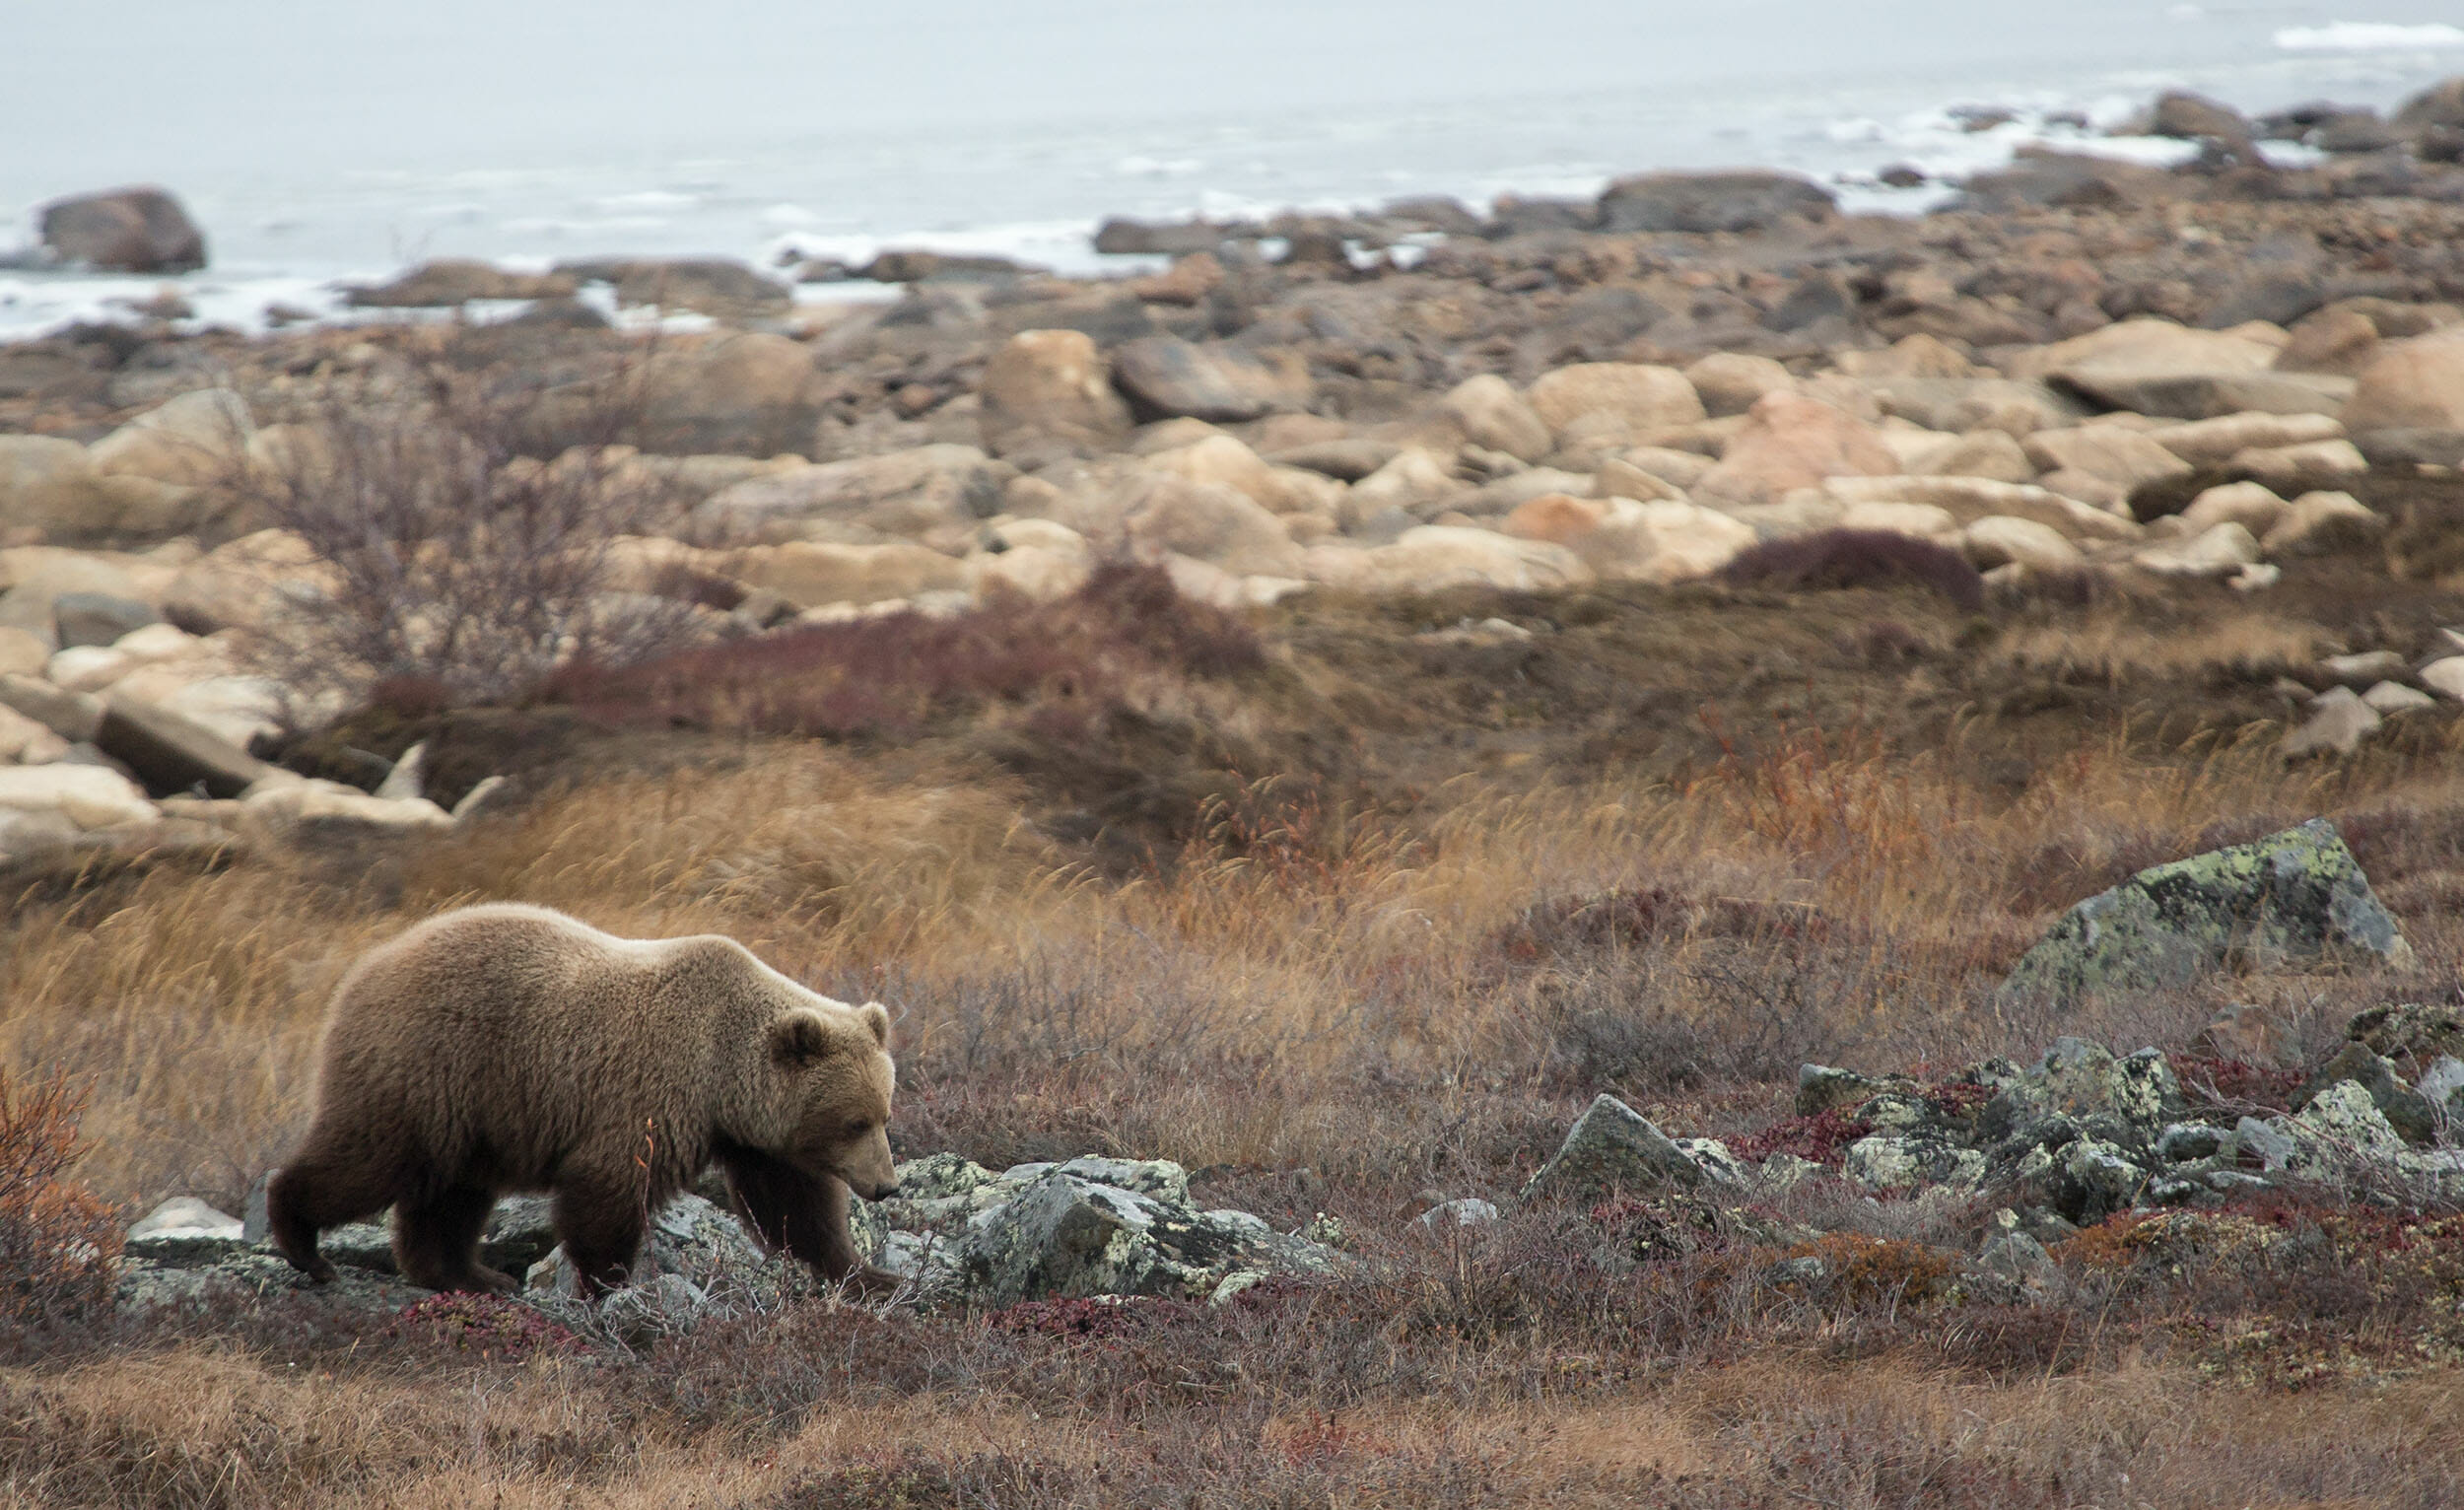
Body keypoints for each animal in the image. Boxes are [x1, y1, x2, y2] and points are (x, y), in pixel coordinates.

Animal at [264, 901, 902, 1300]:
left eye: (883, 1114)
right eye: (854, 1121)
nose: (886, 1186)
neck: (722, 1074)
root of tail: (363, 970)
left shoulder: (755, 1136)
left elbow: (795, 1205)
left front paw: (868, 1275)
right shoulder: (650, 1093)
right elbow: (607, 1191)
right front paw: (609, 1286)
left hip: (472, 1114)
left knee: (452, 1193)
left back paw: (470, 1275)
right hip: (428, 1069)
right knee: (369, 1160)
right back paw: (304, 1243)